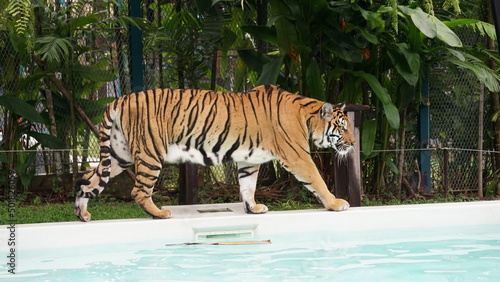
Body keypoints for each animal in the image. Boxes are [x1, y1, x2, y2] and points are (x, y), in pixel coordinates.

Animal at [74, 85, 356, 221]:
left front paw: (253, 209)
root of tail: (118, 99)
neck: (306, 115)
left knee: (87, 179)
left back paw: (82, 214)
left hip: (119, 155)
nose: (353, 143)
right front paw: (336, 203)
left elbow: (247, 186)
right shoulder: (297, 155)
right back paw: (160, 213)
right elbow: (317, 180)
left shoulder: (249, 160)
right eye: (342, 128)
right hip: (150, 153)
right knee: (139, 190)